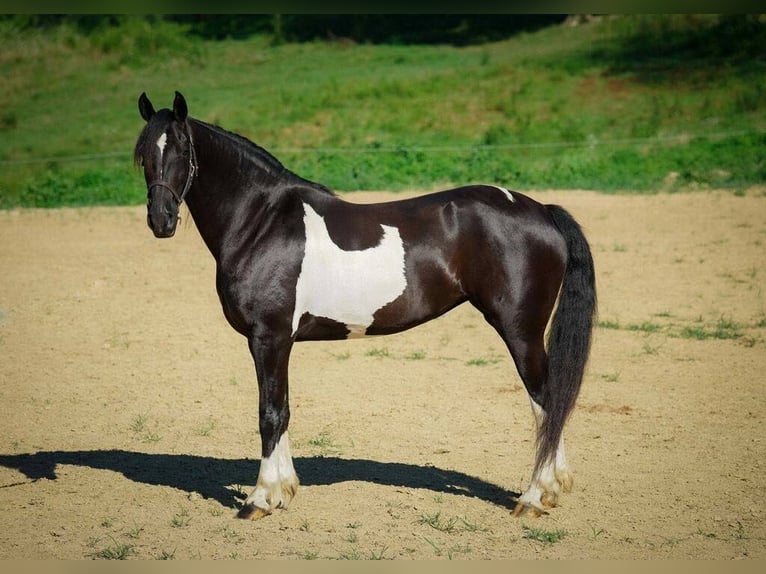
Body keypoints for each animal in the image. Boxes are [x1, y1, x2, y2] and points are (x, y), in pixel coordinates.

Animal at [135, 91, 596, 520]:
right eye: (143, 155)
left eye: (181, 150)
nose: (161, 221)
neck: (261, 221)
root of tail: (541, 210)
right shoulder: (279, 342)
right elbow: (284, 410)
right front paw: (284, 490)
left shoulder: (268, 337)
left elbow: (269, 412)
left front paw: (260, 499)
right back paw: (552, 489)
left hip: (521, 330)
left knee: (546, 400)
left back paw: (533, 497)